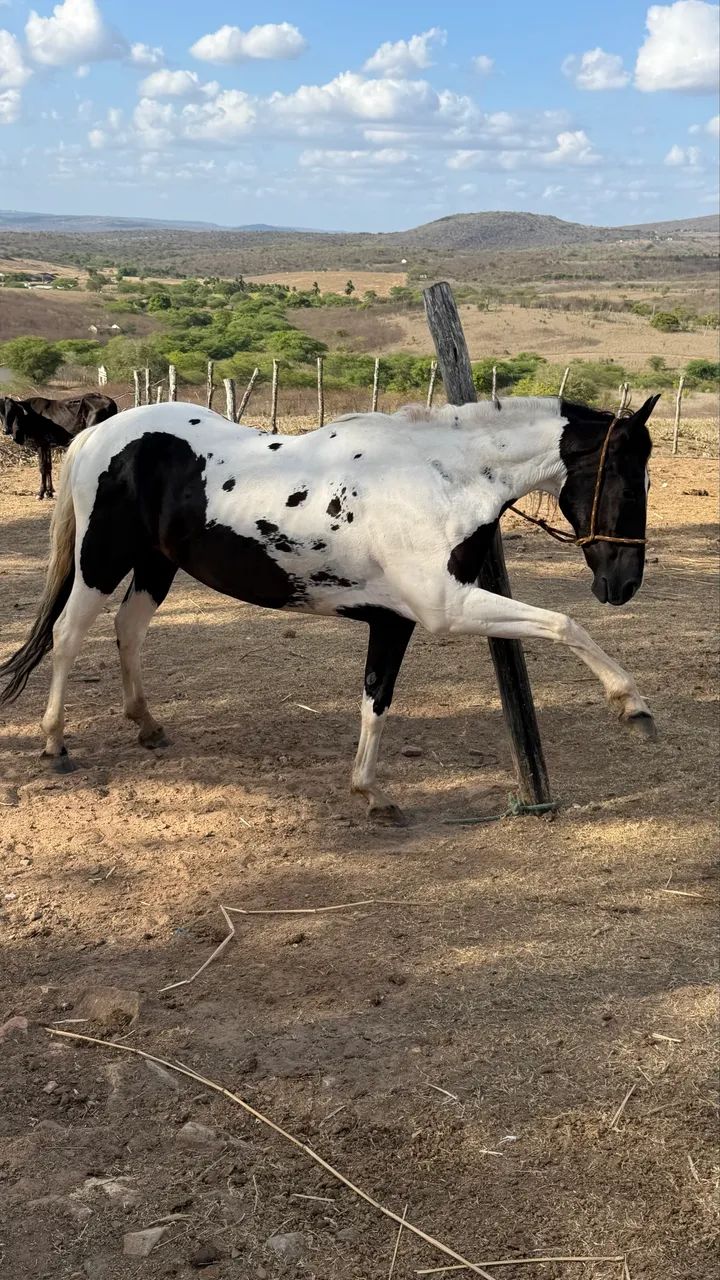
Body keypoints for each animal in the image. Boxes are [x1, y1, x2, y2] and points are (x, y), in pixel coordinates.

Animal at [0, 393, 659, 824]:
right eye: (631, 484)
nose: (623, 584)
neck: (439, 479)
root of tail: (101, 435)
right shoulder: (446, 607)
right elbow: (565, 624)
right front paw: (633, 706)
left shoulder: (396, 620)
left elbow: (376, 699)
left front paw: (371, 793)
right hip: (101, 561)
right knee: (67, 635)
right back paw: (55, 744)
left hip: (156, 566)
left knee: (127, 630)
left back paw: (147, 724)